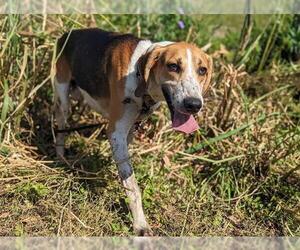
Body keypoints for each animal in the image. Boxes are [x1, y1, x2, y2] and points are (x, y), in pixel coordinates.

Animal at [54, 28, 213, 235]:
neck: (139, 75)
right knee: (61, 126)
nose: (194, 104)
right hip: (63, 97)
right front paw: (140, 225)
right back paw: (60, 158)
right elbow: (133, 185)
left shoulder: (129, 130)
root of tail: (68, 32)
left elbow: (124, 169)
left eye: (202, 70)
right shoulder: (116, 131)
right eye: (173, 66)